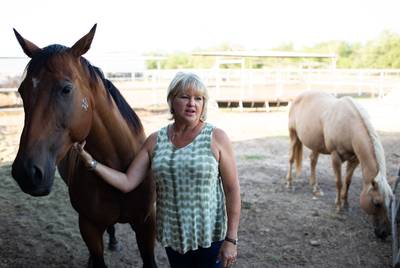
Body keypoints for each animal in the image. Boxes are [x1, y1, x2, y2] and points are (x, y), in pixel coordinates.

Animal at [10, 24, 158, 266]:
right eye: (22, 91)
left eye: (66, 89)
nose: (26, 172)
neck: (119, 166)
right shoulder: (88, 226)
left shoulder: (147, 224)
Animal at [286, 90, 392, 239]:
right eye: (377, 202)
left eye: (391, 201)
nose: (385, 233)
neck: (349, 126)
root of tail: (298, 97)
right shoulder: (335, 156)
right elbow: (339, 182)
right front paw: (338, 207)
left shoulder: (354, 160)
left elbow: (348, 181)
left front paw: (345, 204)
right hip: (293, 135)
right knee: (291, 159)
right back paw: (289, 184)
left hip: (315, 144)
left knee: (313, 161)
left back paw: (315, 188)